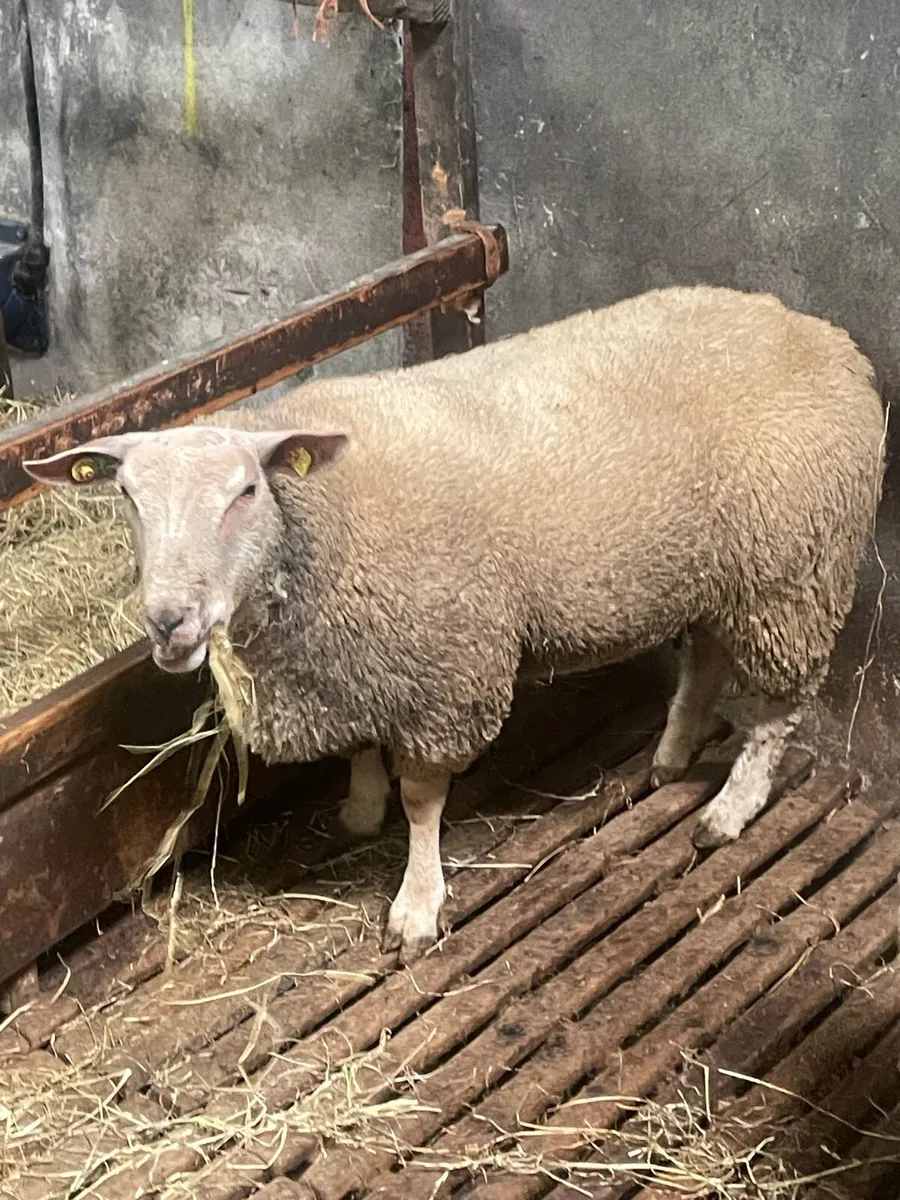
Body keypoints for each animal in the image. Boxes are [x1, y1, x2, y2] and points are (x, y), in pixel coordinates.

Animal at [24, 285, 885, 963]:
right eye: (127, 496)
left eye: (244, 491)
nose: (170, 622)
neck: (321, 518)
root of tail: (821, 332)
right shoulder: (363, 659)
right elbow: (364, 748)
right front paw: (359, 809)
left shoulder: (441, 671)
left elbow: (423, 800)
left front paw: (416, 903)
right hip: (722, 570)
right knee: (704, 656)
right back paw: (672, 755)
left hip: (794, 573)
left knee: (776, 711)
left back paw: (728, 810)